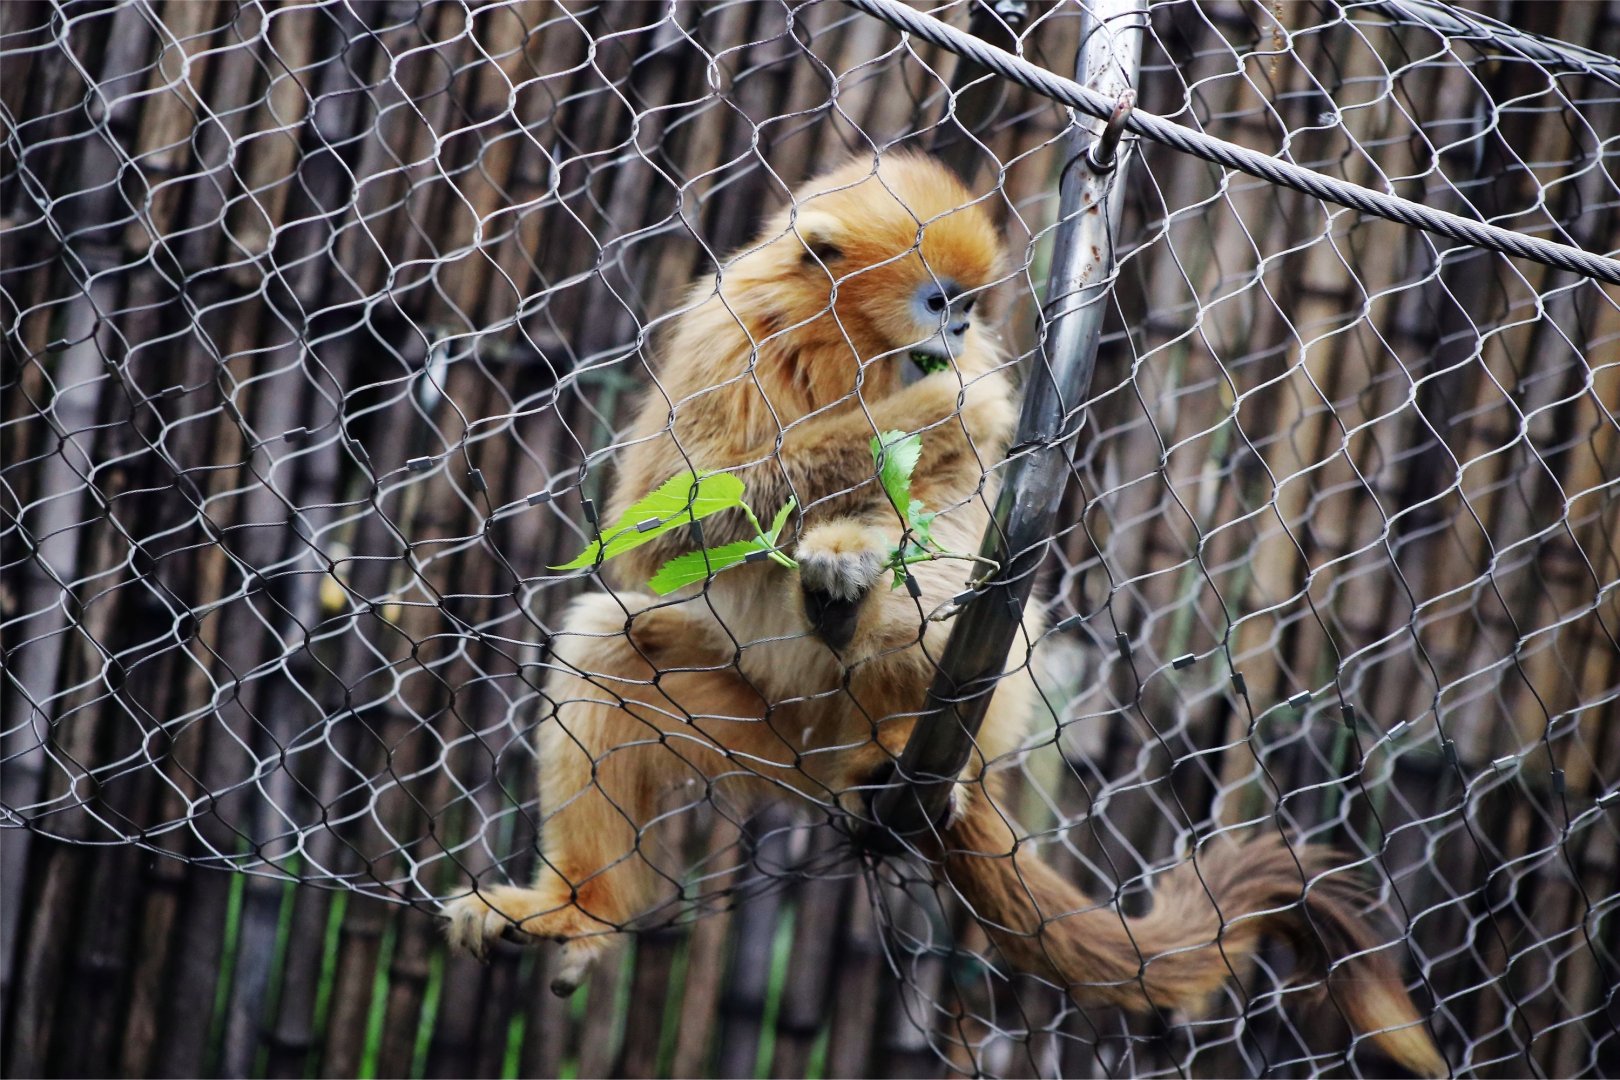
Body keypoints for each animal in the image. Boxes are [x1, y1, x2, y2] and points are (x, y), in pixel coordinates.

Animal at [444, 151, 1446, 1077]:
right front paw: (928, 411)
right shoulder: (728, 333)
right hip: (758, 728)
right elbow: (652, 523)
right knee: (605, 646)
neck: (845, 343)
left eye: (965, 305)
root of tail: (827, 758)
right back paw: (580, 907)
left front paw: (899, 487)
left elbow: (964, 519)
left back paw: (871, 683)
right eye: (938, 300)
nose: (960, 327)